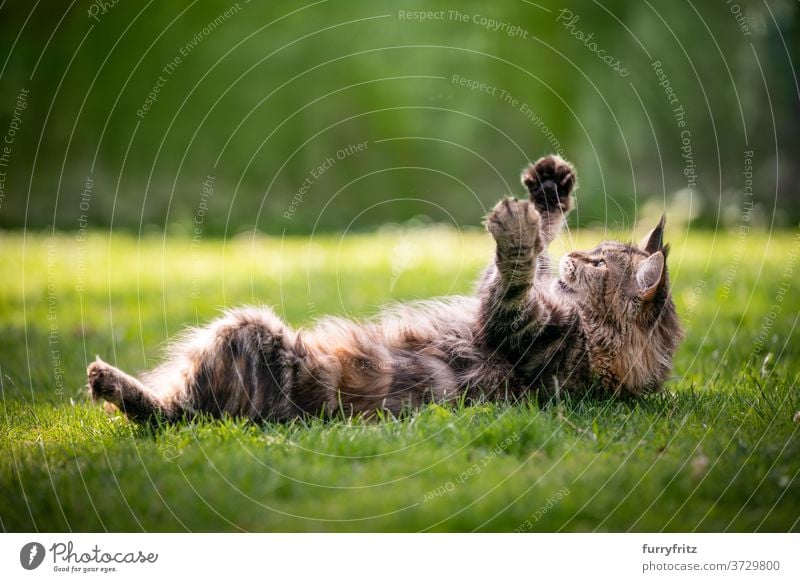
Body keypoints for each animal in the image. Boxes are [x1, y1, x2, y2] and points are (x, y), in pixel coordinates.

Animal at [90, 155, 684, 424]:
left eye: (599, 262)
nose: (575, 258)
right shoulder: (513, 301)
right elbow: (524, 259)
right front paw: (548, 193)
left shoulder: (524, 329)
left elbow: (512, 275)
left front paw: (519, 229)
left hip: (247, 333)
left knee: (164, 413)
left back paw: (110, 383)